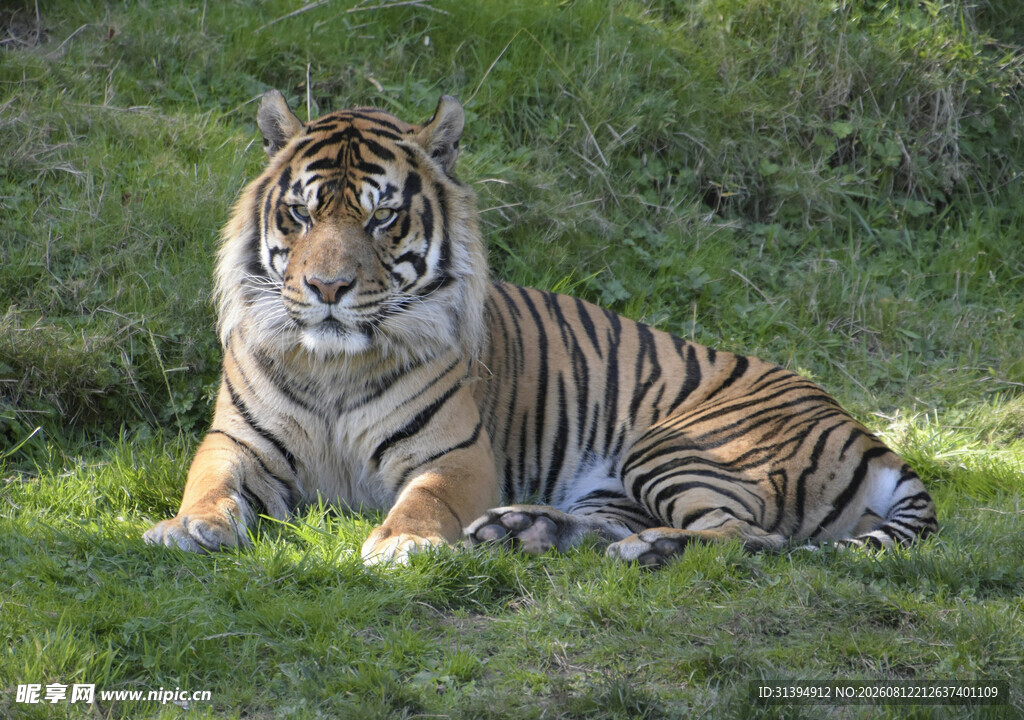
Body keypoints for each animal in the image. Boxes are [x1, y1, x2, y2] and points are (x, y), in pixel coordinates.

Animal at [144, 90, 937, 566]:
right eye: (301, 214)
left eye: (382, 217)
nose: (328, 288)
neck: (333, 364)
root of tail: (857, 425)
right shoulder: (236, 443)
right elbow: (206, 484)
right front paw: (185, 527)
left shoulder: (457, 454)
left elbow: (425, 499)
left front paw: (402, 546)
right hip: (615, 484)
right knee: (622, 526)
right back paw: (523, 528)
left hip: (681, 448)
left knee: (748, 536)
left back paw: (650, 551)